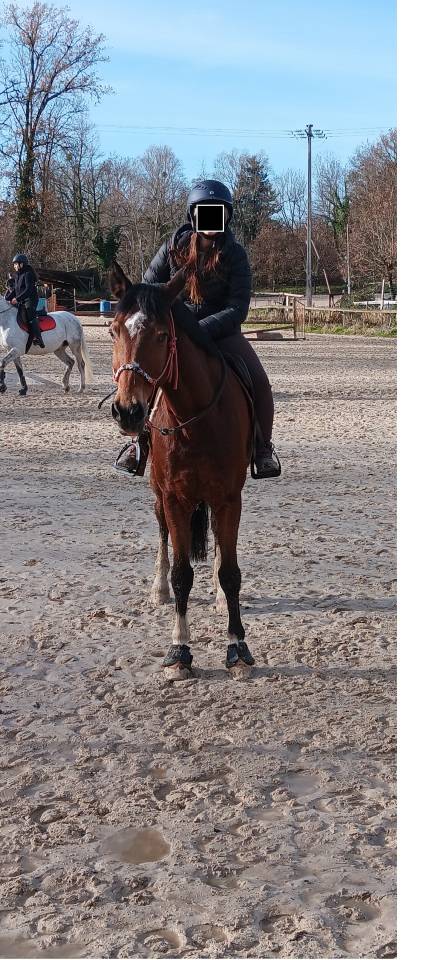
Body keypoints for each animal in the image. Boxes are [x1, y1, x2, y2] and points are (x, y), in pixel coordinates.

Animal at [108, 261, 255, 680]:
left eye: (161, 335)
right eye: (114, 330)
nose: (127, 411)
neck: (195, 419)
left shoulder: (229, 498)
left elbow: (230, 572)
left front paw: (237, 648)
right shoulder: (174, 498)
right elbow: (181, 574)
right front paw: (179, 650)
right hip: (160, 495)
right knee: (162, 537)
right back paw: (157, 589)